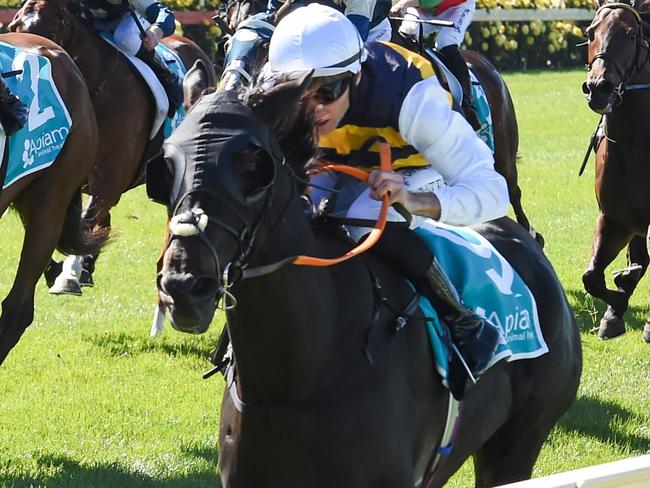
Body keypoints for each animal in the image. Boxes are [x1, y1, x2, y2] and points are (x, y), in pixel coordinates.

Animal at [8, 0, 215, 292]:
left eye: (51, 30)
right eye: (16, 26)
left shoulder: (109, 181)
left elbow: (87, 218)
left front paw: (69, 274)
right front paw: (64, 269)